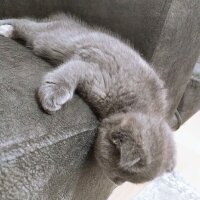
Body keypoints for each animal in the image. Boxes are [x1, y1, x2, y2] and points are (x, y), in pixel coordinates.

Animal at [0, 13, 175, 184]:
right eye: (119, 174)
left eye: (124, 179)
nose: (117, 183)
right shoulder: (92, 71)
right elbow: (69, 72)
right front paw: (52, 96)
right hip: (44, 36)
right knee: (23, 22)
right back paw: (4, 27)